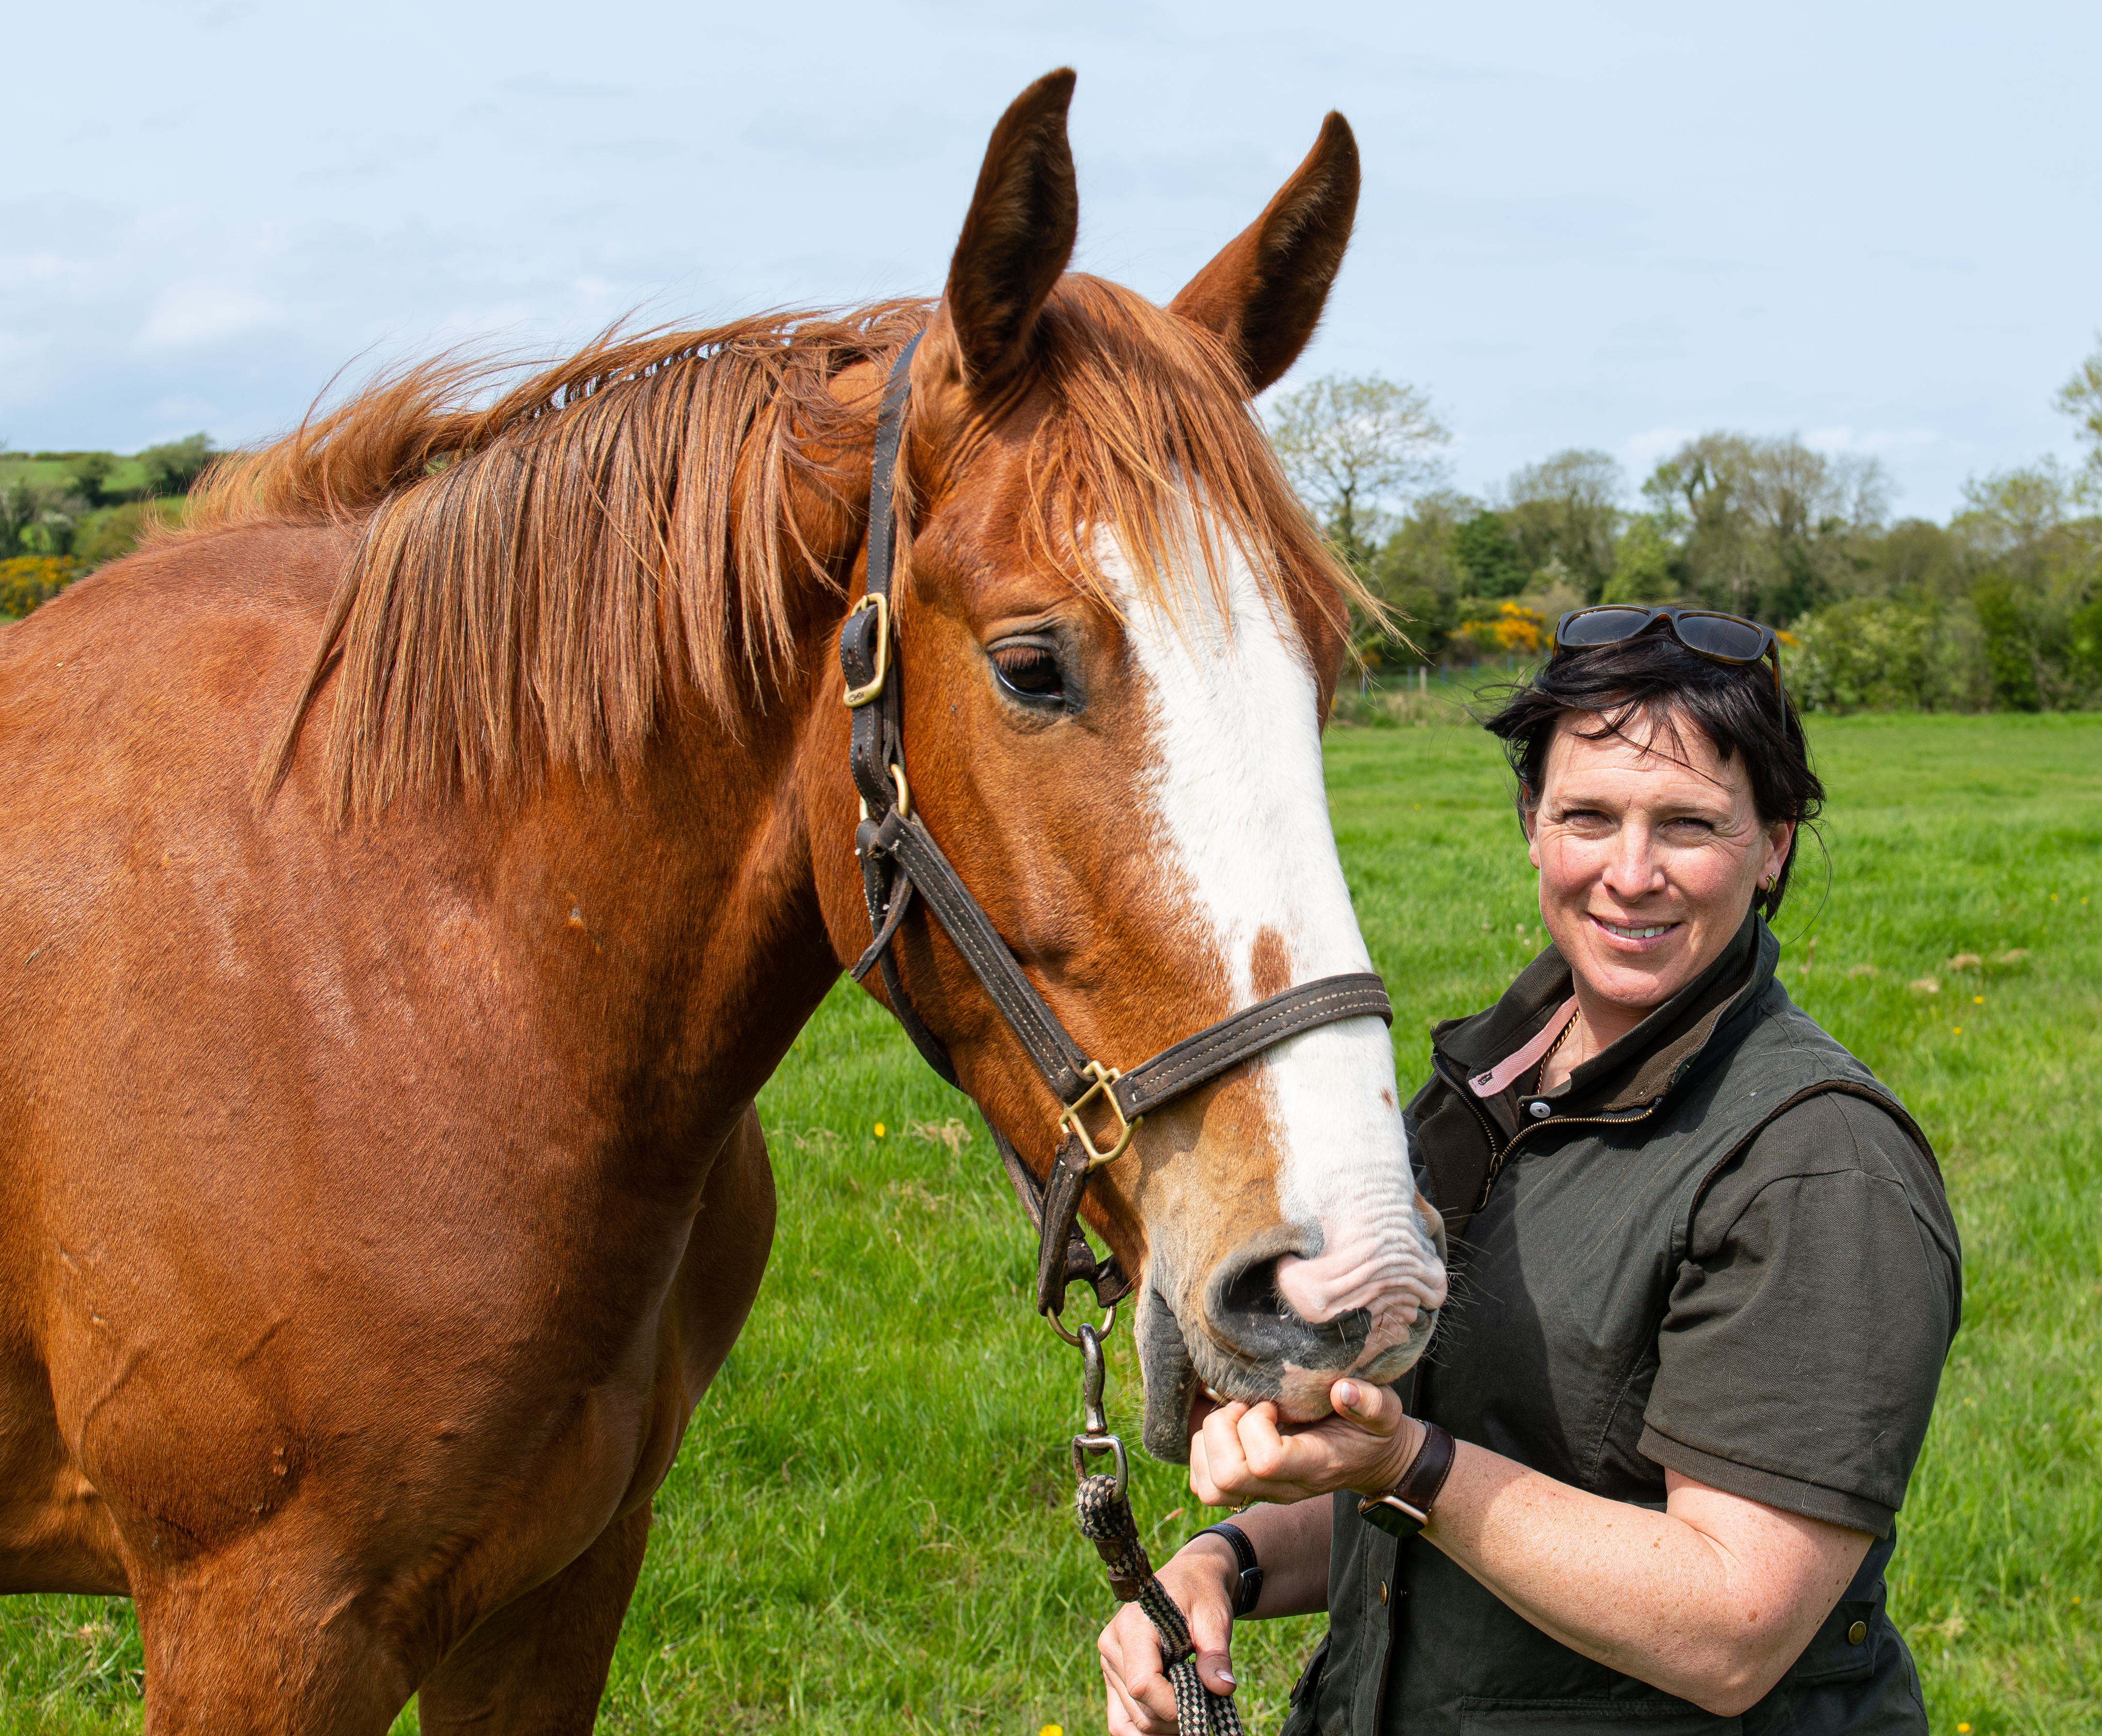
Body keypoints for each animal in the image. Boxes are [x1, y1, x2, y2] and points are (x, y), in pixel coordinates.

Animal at [0, 70, 1447, 1731]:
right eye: (1031, 664)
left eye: (1324, 662)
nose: (1357, 1279)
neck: (383, 979)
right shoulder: (260, 1621)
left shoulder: (560, 1585)